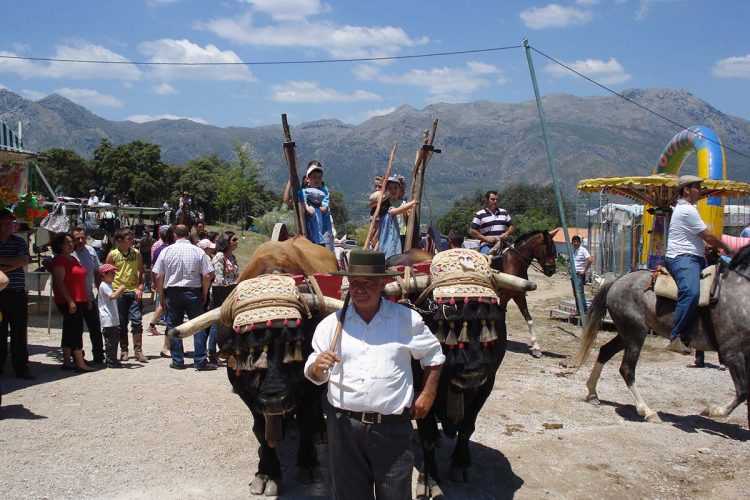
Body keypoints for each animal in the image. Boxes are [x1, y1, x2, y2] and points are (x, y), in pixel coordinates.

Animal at [494, 231, 560, 360]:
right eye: (547, 248)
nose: (551, 271)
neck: (514, 264)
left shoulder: (519, 296)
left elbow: (529, 319)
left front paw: (536, 348)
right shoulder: (504, 297)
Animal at [576, 245, 750, 426]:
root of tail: (618, 281)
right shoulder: (732, 352)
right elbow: (743, 391)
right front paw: (714, 411)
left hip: (627, 334)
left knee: (605, 351)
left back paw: (592, 393)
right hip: (635, 333)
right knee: (627, 369)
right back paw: (646, 410)